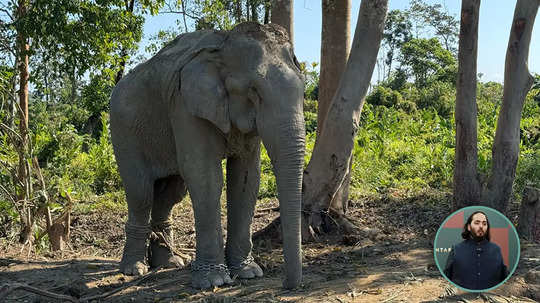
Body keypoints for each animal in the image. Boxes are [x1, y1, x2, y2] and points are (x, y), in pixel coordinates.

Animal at [108, 22, 306, 290]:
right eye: (254, 91)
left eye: (304, 89)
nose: (286, 284)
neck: (223, 45)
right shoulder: (184, 105)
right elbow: (204, 174)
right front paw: (214, 281)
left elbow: (246, 178)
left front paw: (249, 273)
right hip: (124, 131)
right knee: (141, 192)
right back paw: (134, 269)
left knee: (171, 193)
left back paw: (170, 263)